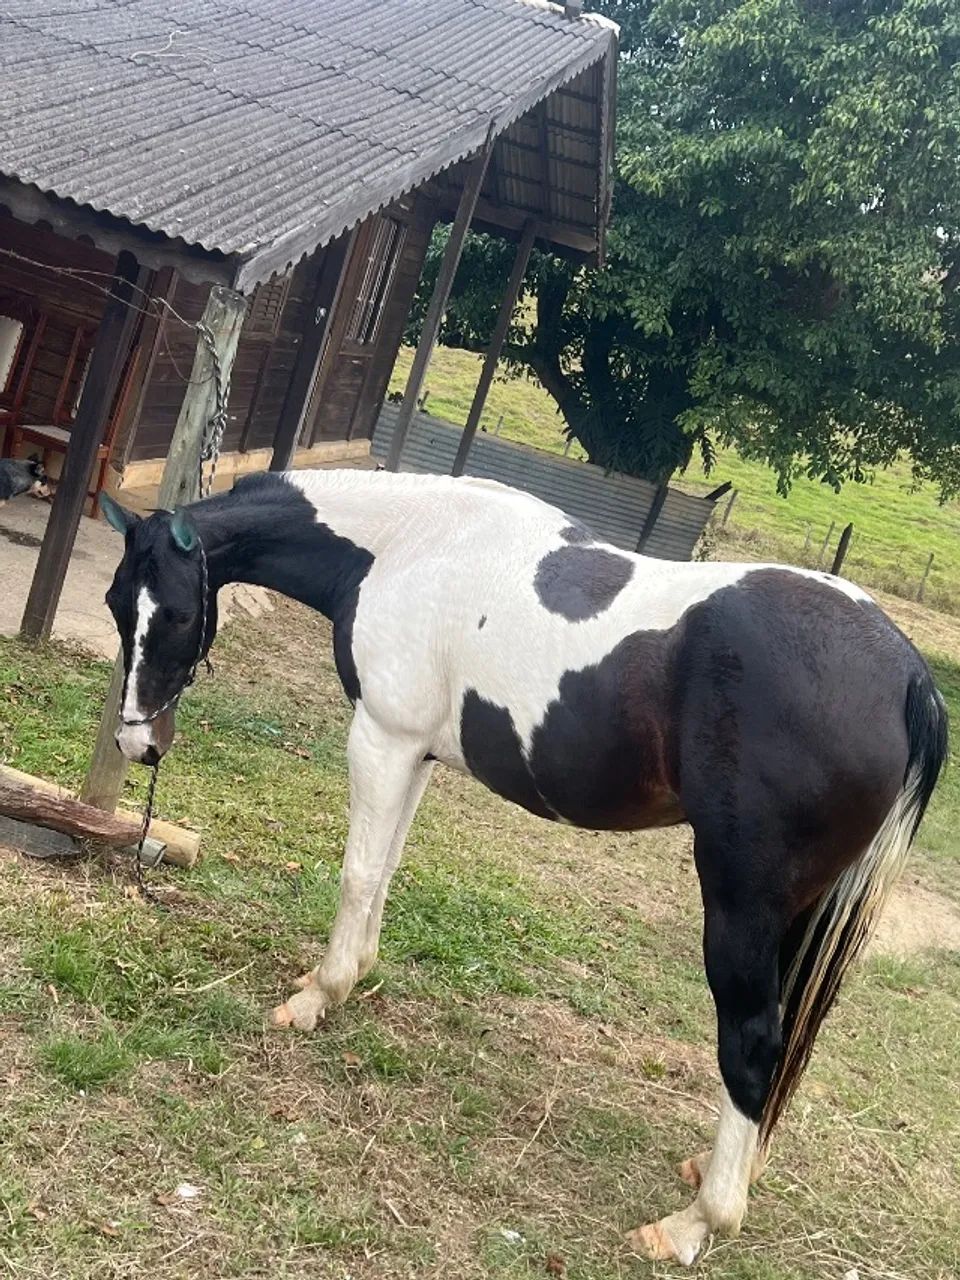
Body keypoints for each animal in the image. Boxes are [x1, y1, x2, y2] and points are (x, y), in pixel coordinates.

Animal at [99, 468, 946, 1266]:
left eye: (177, 615)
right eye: (115, 605)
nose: (138, 743)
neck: (407, 544)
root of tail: (907, 674)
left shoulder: (381, 738)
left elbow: (359, 873)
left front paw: (316, 997)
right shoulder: (416, 753)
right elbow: (387, 871)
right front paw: (350, 976)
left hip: (744, 904)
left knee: (755, 1039)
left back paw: (695, 1223)